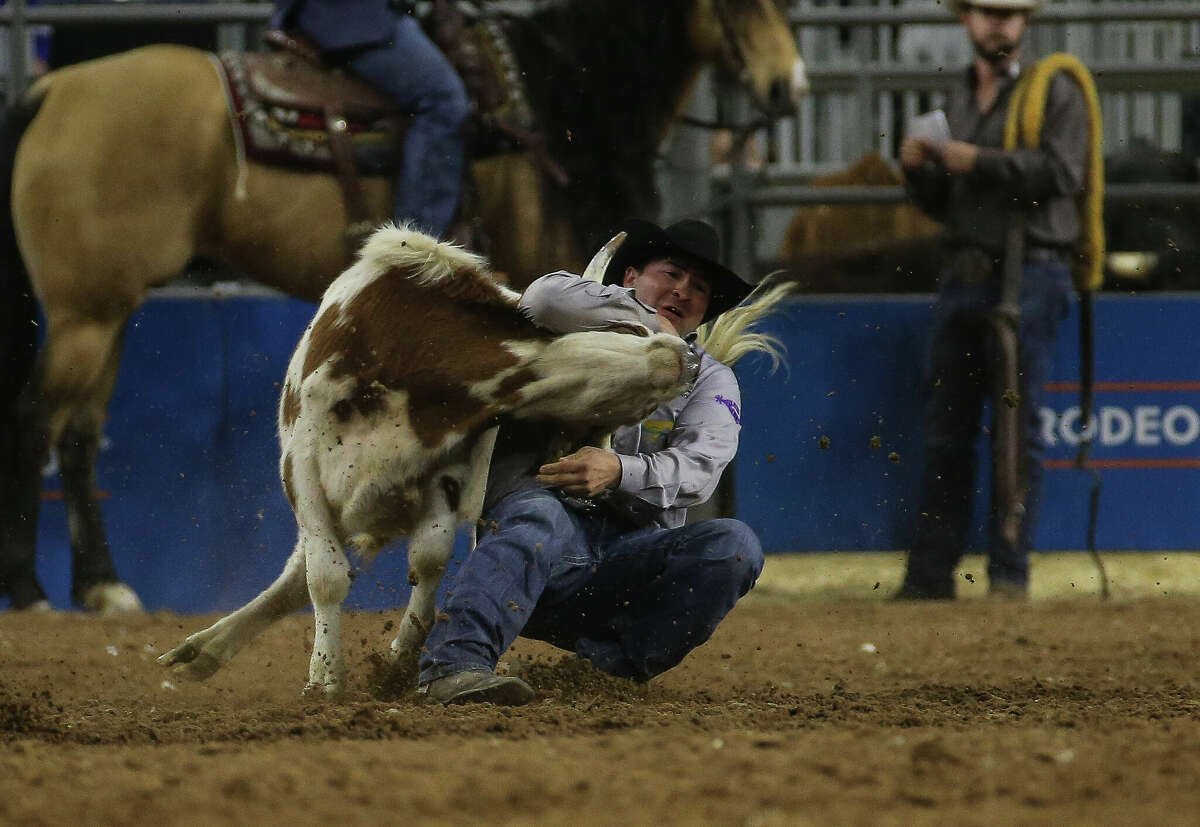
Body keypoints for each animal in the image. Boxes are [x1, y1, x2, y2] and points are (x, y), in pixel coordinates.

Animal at [0, 0, 806, 607]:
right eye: (743, 1)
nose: (787, 88)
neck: (552, 100)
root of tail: (53, 91)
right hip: (86, 311)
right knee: (37, 422)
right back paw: (33, 592)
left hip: (109, 308)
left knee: (79, 436)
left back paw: (103, 587)